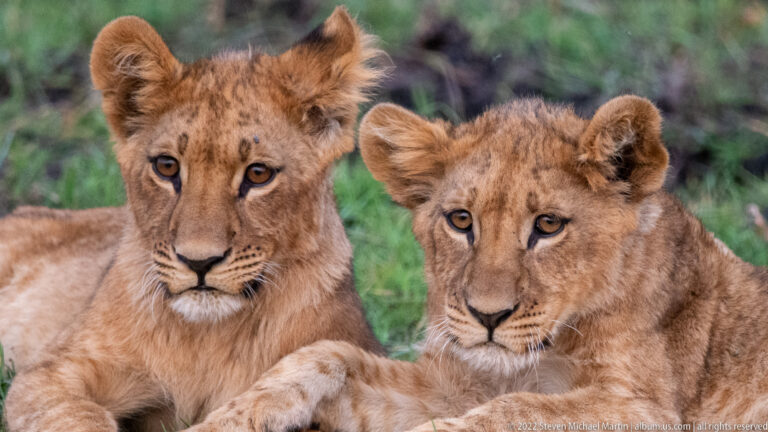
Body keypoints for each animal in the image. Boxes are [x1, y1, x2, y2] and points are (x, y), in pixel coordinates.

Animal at [4, 7, 386, 431]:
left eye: (258, 174)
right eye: (167, 166)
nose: (199, 262)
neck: (204, 338)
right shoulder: (51, 372)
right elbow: (78, 415)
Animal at [184, 96, 768, 432]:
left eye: (548, 225)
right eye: (461, 220)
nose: (488, 317)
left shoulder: (647, 409)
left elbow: (519, 410)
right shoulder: (452, 385)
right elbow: (328, 355)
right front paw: (226, 420)